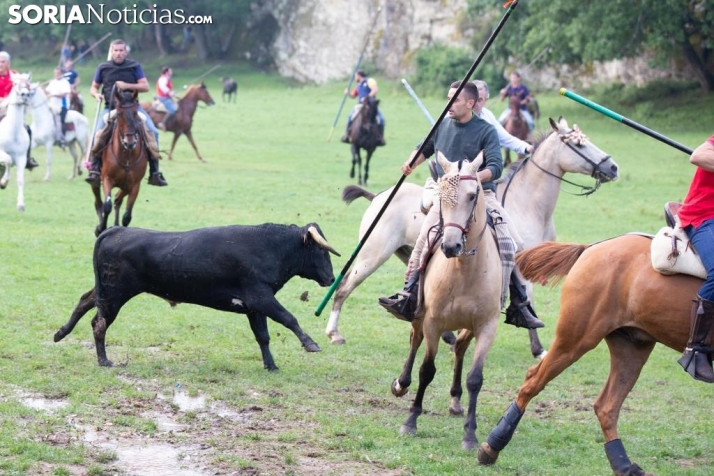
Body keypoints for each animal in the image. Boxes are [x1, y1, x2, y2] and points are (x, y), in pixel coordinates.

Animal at [54, 223, 338, 372]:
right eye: (320, 251)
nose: (331, 278)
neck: (270, 247)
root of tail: (115, 230)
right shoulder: (261, 299)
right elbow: (289, 319)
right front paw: (311, 344)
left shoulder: (254, 307)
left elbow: (263, 337)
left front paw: (271, 365)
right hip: (114, 296)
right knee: (99, 324)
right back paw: (104, 360)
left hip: (106, 292)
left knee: (85, 300)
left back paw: (60, 333)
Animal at [92, 87, 147, 238]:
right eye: (119, 114)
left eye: (135, 112)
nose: (130, 143)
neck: (126, 155)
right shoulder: (107, 179)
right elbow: (107, 205)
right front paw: (101, 228)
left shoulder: (134, 185)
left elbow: (127, 215)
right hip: (95, 180)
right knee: (98, 202)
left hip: (125, 185)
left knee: (117, 200)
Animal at [324, 116, 616, 354]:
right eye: (578, 145)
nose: (612, 167)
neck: (528, 204)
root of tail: (377, 196)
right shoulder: (521, 261)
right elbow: (527, 296)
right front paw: (538, 348)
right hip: (372, 254)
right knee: (344, 286)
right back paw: (334, 333)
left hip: (405, 253)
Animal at [476, 235, 704, 476]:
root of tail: (590, 248)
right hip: (575, 340)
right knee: (532, 382)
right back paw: (492, 446)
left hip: (631, 348)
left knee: (606, 407)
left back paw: (623, 466)